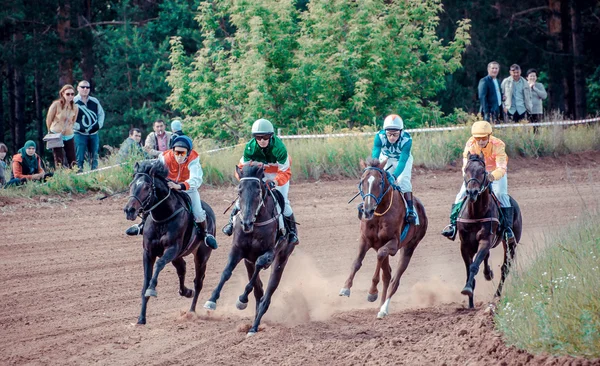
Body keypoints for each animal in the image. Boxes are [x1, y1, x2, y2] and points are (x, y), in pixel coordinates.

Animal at [122, 160, 216, 324]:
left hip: (202, 256)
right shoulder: (148, 252)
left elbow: (159, 265)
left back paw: (191, 311)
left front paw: (152, 289)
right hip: (178, 257)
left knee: (198, 282)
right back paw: (186, 292)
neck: (163, 217)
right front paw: (141, 318)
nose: (129, 210)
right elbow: (145, 282)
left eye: (147, 187)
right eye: (131, 184)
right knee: (182, 269)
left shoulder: (172, 248)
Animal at [204, 164, 296, 336]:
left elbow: (259, 267)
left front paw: (241, 300)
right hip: (248, 262)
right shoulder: (238, 250)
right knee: (259, 292)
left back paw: (254, 327)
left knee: (267, 295)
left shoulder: (269, 254)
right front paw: (211, 300)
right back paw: (254, 322)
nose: (246, 223)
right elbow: (226, 272)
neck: (256, 223)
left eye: (258, 191)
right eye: (239, 191)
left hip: (281, 259)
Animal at [340, 159, 428, 318]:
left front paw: (372, 292)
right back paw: (380, 304)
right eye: (362, 181)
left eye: (380, 182)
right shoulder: (365, 240)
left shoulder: (393, 244)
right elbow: (356, 262)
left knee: (394, 279)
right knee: (387, 274)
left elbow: (380, 257)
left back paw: (383, 309)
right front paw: (345, 288)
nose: (367, 210)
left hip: (409, 247)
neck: (379, 212)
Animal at [460, 152, 520, 308]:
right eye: (466, 170)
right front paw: (470, 301)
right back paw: (488, 274)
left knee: (505, 268)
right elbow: (469, 268)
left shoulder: (486, 240)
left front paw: (467, 289)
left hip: (511, 244)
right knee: (486, 258)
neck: (476, 214)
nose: (472, 192)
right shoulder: (465, 245)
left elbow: (474, 266)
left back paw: (496, 295)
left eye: (482, 171)